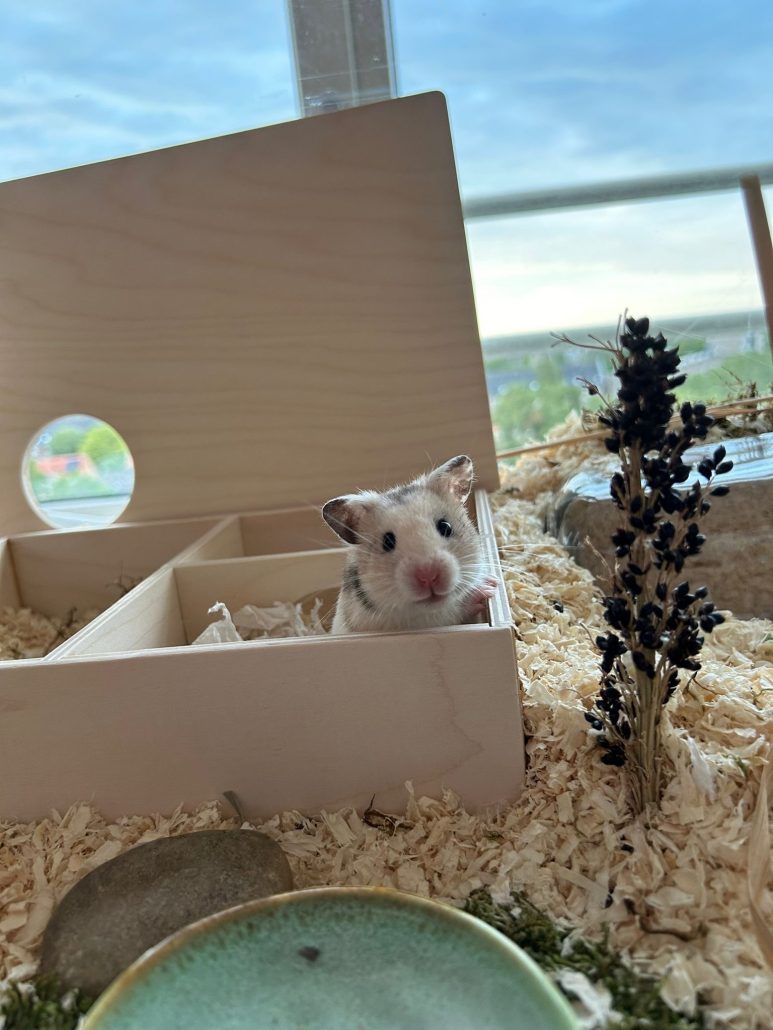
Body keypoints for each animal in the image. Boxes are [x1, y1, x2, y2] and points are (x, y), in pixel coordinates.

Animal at [321, 455, 497, 634]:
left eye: (445, 527)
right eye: (387, 542)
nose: (429, 577)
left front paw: (491, 583)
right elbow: (451, 612)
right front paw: (486, 590)